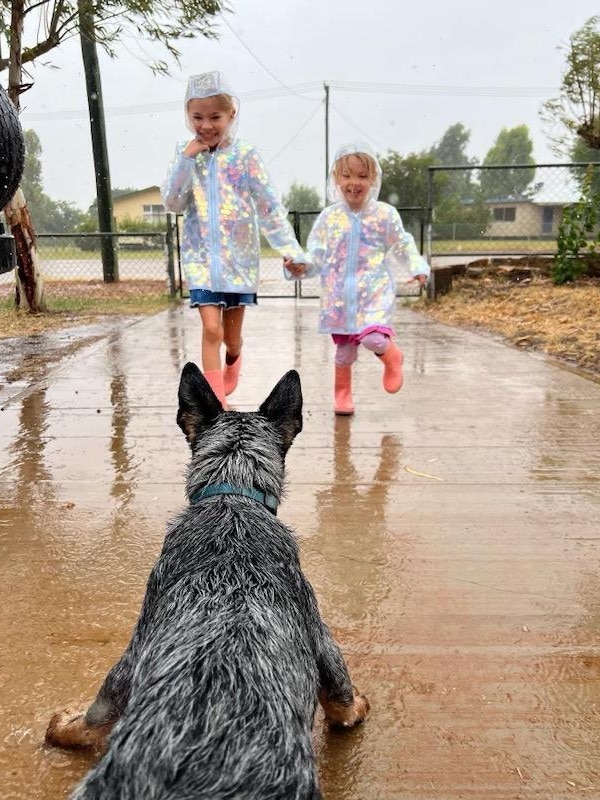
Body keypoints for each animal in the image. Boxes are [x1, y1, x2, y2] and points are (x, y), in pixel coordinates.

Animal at [44, 364, 368, 800]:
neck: (232, 498)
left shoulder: (133, 652)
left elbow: (100, 708)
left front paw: (65, 730)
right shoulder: (318, 632)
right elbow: (341, 697)